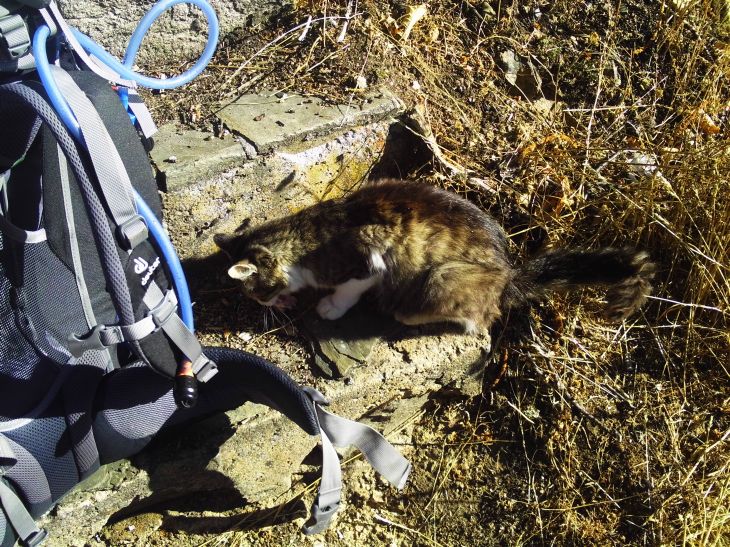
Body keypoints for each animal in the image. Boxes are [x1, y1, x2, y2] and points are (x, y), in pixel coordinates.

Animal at [214, 180, 654, 334]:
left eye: (255, 293)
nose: (265, 306)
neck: (305, 235)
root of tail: (509, 275)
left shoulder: (370, 254)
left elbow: (348, 289)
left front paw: (330, 307)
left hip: (441, 278)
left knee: (476, 317)